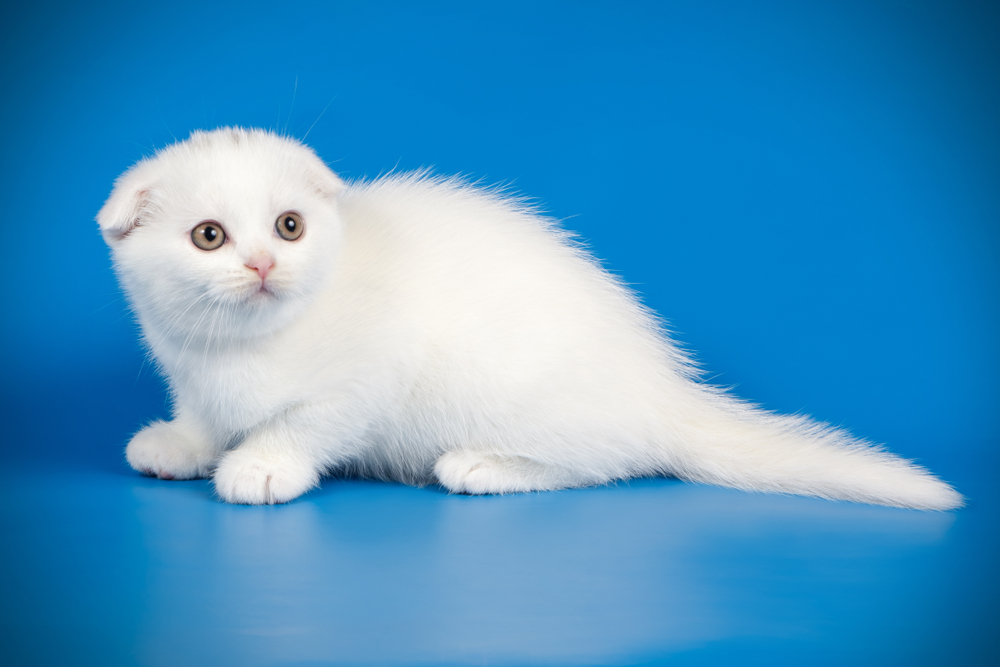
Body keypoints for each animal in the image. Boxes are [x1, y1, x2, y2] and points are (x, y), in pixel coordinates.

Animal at [99, 128, 960, 508]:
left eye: (288, 226)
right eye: (210, 236)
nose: (262, 265)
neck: (238, 350)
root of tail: (664, 390)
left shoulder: (368, 375)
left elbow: (310, 421)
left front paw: (262, 463)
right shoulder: (192, 372)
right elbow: (203, 414)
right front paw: (183, 443)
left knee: (608, 460)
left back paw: (484, 466)